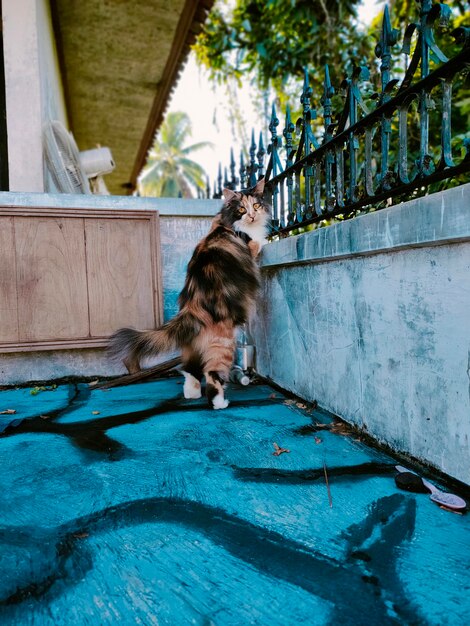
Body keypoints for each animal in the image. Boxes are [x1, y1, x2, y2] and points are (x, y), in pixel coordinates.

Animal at [106, 177, 268, 410]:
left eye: (256, 205)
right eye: (241, 209)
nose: (253, 215)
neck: (225, 222)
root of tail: (194, 305)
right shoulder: (249, 244)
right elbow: (257, 243)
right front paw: (265, 240)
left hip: (193, 344)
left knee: (190, 369)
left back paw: (191, 394)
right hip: (223, 343)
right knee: (211, 374)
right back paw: (219, 402)